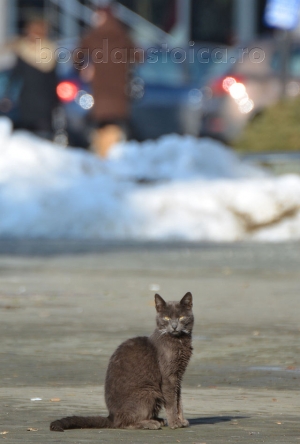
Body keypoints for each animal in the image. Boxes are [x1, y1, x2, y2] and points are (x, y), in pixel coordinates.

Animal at [50, 292, 193, 430]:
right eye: (166, 318)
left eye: (181, 317)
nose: (174, 326)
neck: (179, 341)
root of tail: (111, 417)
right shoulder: (168, 378)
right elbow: (171, 402)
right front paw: (174, 423)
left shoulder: (178, 376)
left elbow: (179, 401)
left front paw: (181, 421)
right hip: (149, 392)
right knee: (124, 423)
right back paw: (151, 423)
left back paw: (157, 420)